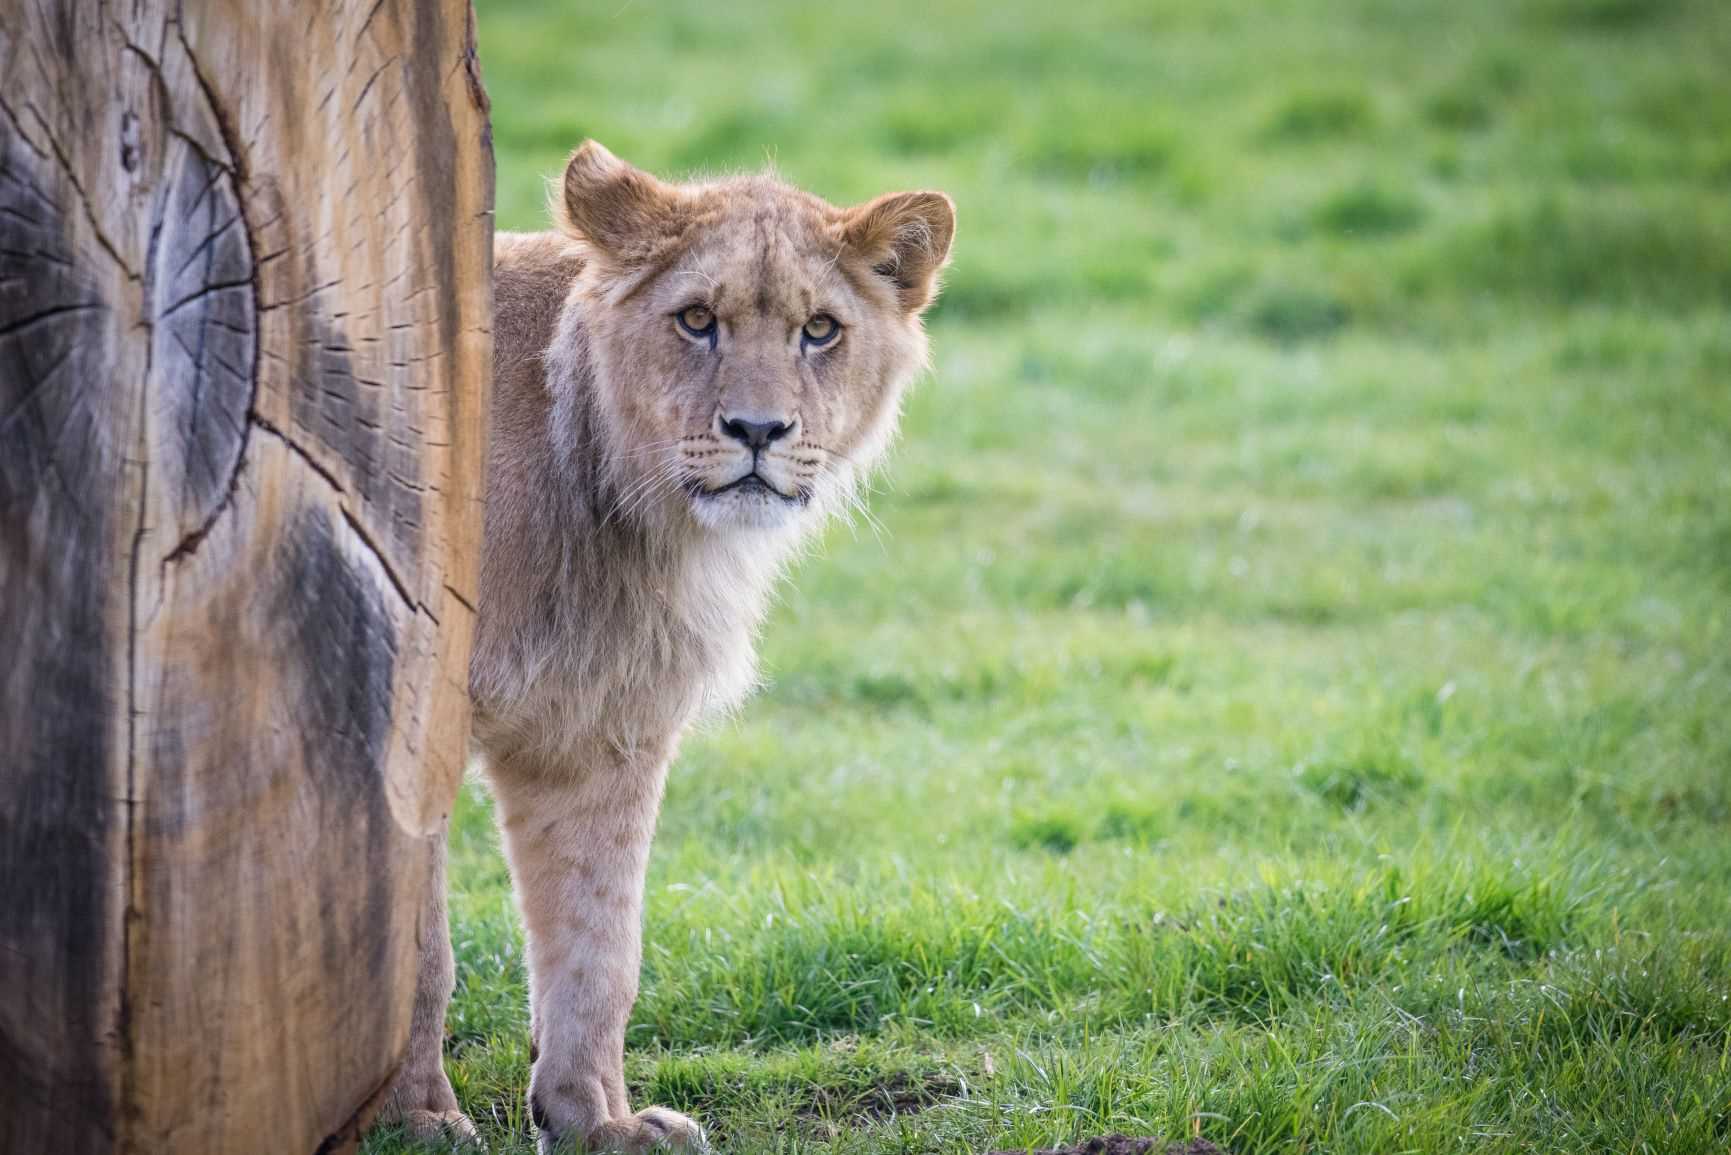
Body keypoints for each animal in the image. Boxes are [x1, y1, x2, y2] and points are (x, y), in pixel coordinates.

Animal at [376, 141, 954, 1152]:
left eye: (818, 329)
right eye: (695, 320)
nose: (758, 431)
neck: (624, 511)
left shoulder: (601, 732)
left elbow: (600, 945)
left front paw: (593, 1121)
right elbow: (420, 944)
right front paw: (416, 1120)